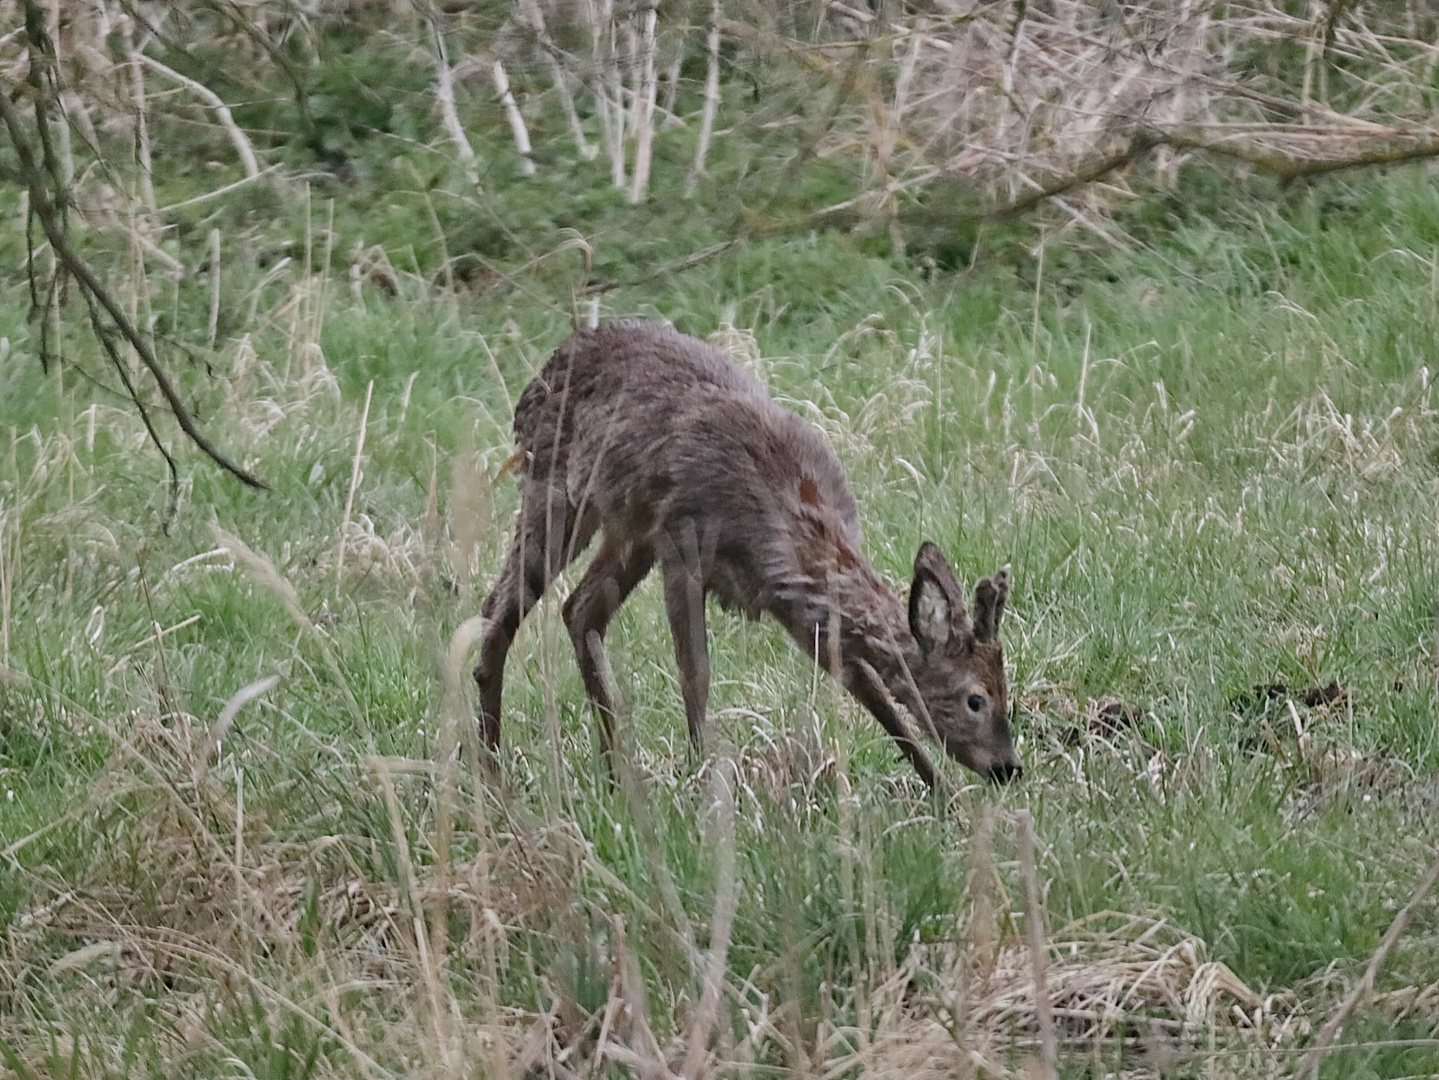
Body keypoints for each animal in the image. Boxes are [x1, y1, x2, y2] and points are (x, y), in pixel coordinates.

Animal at [474, 320, 1024, 788]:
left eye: (1006, 688)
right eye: (975, 698)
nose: (1008, 767)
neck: (788, 533)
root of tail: (539, 376)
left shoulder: (799, 610)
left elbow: (871, 693)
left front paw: (945, 798)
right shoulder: (684, 547)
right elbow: (695, 672)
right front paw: (705, 780)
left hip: (630, 530)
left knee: (579, 610)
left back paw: (614, 772)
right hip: (558, 493)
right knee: (499, 610)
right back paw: (493, 770)